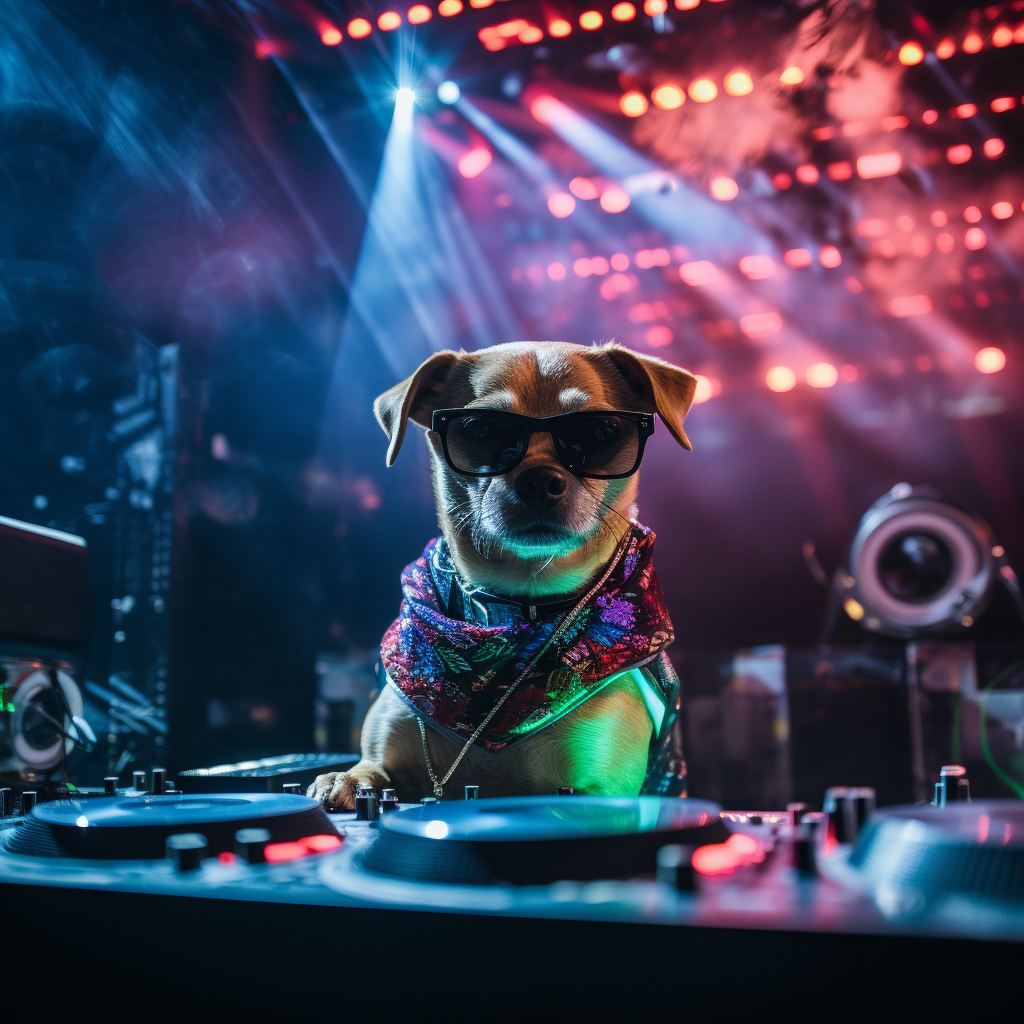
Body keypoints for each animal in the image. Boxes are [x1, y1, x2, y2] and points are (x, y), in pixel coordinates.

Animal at [307, 342, 700, 806]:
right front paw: (341, 780)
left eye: (599, 432)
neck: (519, 606)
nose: (541, 478)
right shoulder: (386, 756)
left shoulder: (598, 788)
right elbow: (368, 769)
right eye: (480, 430)